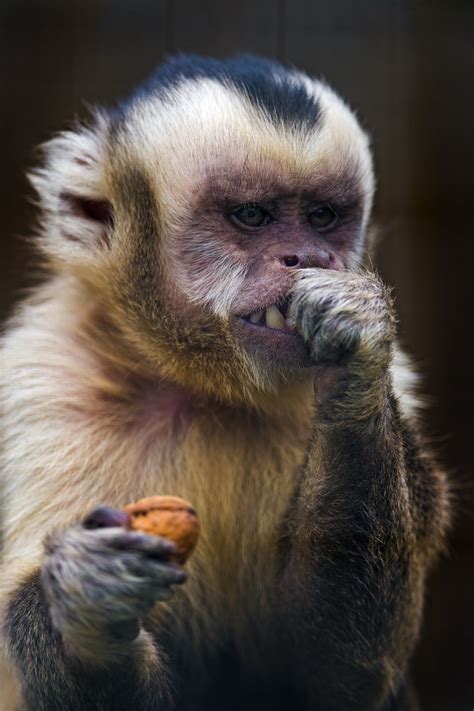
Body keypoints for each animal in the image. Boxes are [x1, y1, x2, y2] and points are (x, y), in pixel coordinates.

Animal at [0, 55, 450, 711]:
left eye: (321, 217)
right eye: (252, 216)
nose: (309, 256)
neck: (199, 383)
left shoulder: (401, 381)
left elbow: (329, 675)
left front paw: (353, 349)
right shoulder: (42, 387)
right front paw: (91, 609)